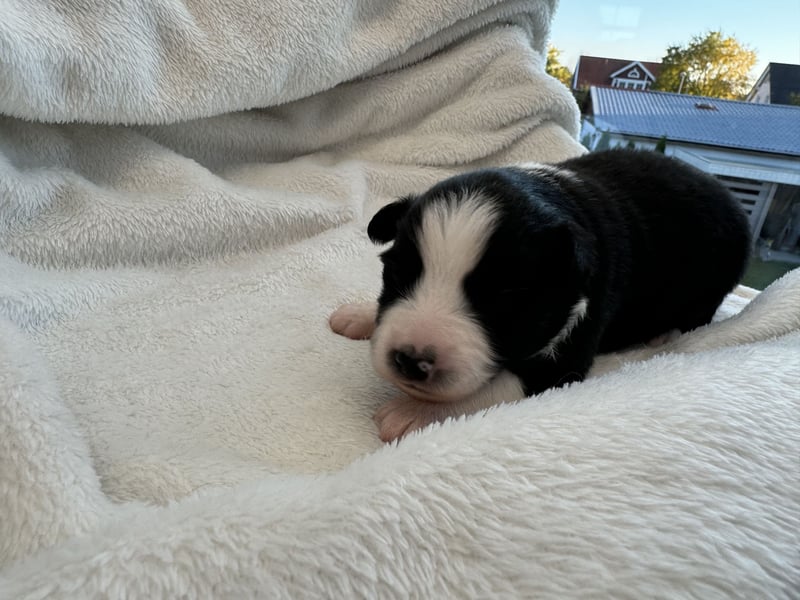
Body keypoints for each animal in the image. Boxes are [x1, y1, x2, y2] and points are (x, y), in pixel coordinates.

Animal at [328, 150, 752, 440]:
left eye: (503, 299)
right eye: (398, 273)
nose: (409, 360)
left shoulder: (567, 356)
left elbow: (500, 384)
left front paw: (411, 412)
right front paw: (360, 314)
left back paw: (663, 334)